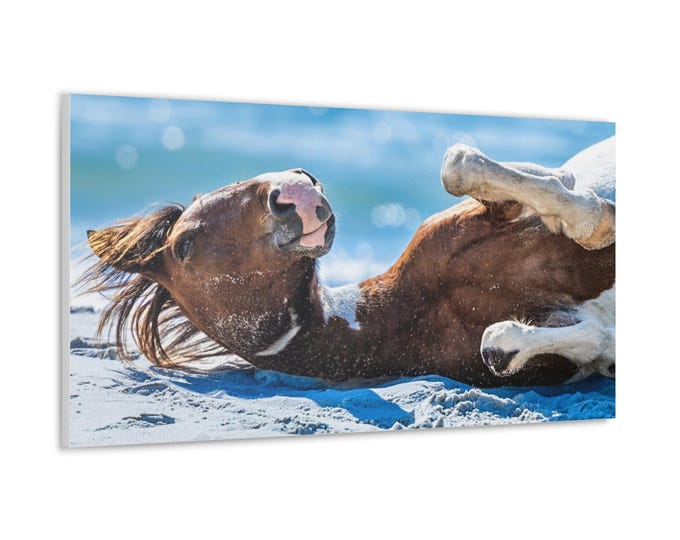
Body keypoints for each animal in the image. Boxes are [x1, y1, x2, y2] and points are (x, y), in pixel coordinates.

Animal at [80, 136, 615, 387]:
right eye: (185, 245)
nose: (294, 187)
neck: (412, 312)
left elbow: (463, 166)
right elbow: (514, 343)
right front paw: (599, 221)